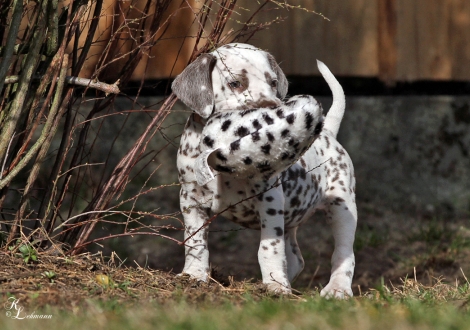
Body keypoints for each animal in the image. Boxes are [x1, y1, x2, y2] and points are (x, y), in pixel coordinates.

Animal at [173, 42, 356, 298]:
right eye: (235, 83)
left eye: (272, 82)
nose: (272, 107)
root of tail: (329, 132)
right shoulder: (190, 199)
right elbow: (195, 241)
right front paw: (193, 275)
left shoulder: (269, 199)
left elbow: (269, 248)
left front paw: (275, 286)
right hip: (291, 219)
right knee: (296, 258)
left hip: (342, 206)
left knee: (344, 253)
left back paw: (337, 288)